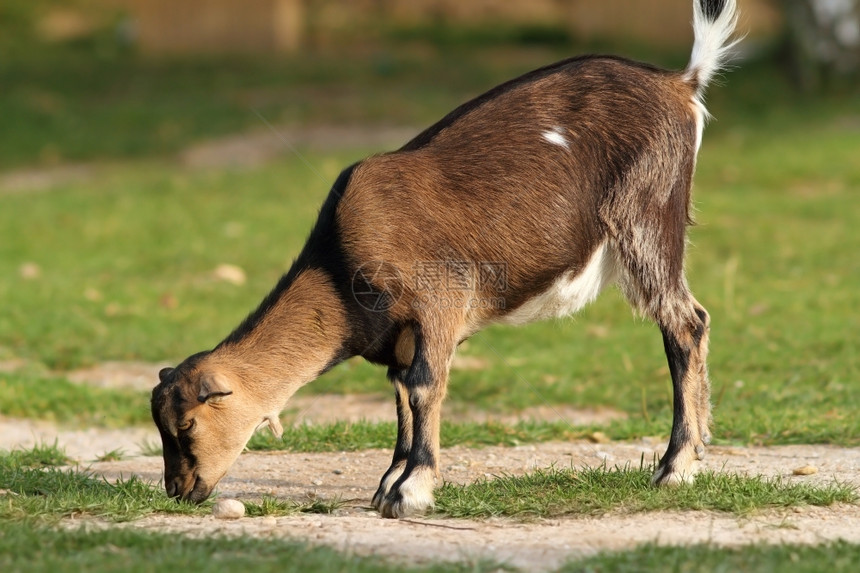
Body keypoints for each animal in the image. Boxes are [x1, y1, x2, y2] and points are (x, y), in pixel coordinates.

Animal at [149, 0, 740, 520]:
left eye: (187, 427)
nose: (180, 489)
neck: (340, 270)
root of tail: (682, 83)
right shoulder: (400, 335)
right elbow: (400, 394)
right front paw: (388, 483)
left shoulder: (439, 301)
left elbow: (423, 385)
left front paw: (412, 491)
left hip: (646, 219)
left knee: (685, 323)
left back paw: (675, 468)